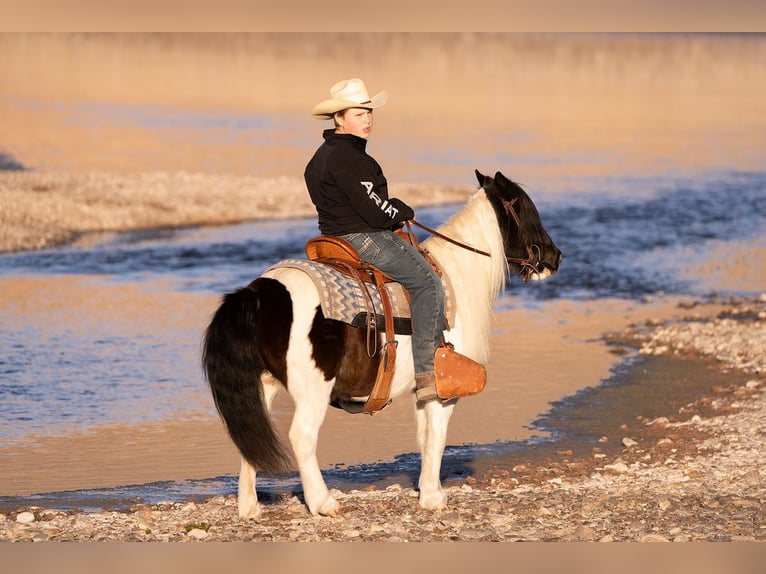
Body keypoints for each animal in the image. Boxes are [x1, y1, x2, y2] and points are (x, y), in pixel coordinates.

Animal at [204, 169, 564, 520]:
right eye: (527, 211)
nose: (555, 257)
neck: (457, 279)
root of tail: (259, 294)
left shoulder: (424, 388)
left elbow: (425, 437)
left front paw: (428, 491)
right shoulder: (444, 389)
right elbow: (437, 436)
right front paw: (433, 497)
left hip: (261, 386)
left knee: (251, 434)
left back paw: (249, 507)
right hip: (313, 391)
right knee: (301, 437)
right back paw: (323, 502)